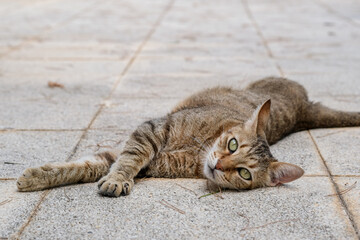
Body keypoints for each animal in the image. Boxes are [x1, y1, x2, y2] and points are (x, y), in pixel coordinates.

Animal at [16, 77, 360, 197]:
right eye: (232, 144)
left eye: (244, 173)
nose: (218, 165)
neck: (200, 149)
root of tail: (305, 109)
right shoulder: (150, 132)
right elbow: (101, 165)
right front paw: (38, 177)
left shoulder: (149, 161)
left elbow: (96, 166)